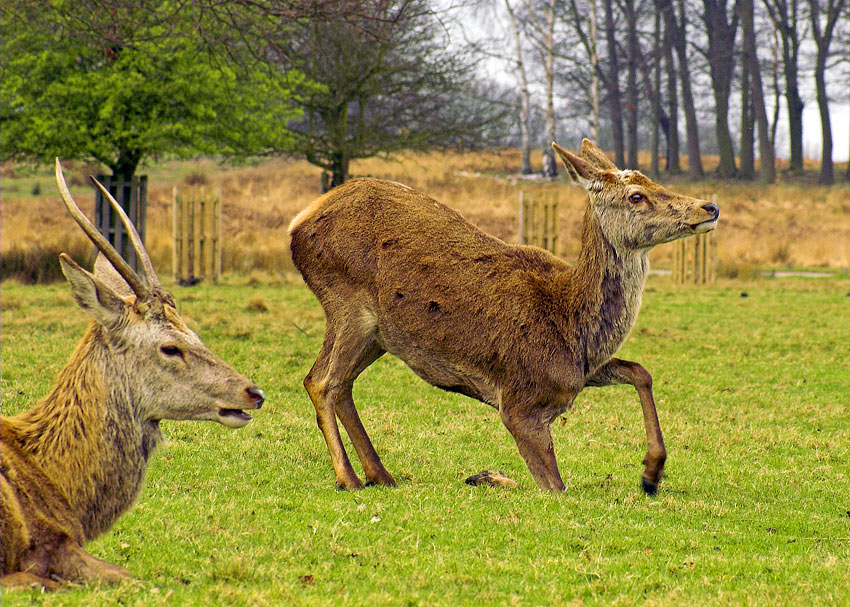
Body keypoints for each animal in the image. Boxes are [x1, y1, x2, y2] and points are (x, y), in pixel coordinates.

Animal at [290, 140, 716, 496]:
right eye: (636, 195)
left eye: (652, 179)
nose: (709, 207)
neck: (572, 324)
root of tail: (299, 222)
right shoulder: (520, 404)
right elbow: (556, 488)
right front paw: (488, 477)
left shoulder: (580, 374)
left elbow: (640, 371)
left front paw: (651, 473)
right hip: (347, 303)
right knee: (322, 381)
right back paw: (348, 479)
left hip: (379, 334)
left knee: (342, 384)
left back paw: (381, 474)